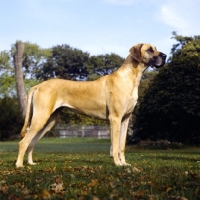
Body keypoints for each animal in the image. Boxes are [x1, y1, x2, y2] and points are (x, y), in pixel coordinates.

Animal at [15, 43, 166, 167]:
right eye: (150, 50)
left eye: (156, 48)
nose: (165, 56)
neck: (131, 78)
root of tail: (39, 85)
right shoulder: (115, 119)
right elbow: (115, 145)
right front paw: (117, 164)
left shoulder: (125, 120)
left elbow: (121, 145)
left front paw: (124, 163)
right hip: (40, 118)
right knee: (23, 142)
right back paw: (19, 165)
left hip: (48, 122)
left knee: (31, 142)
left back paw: (30, 162)